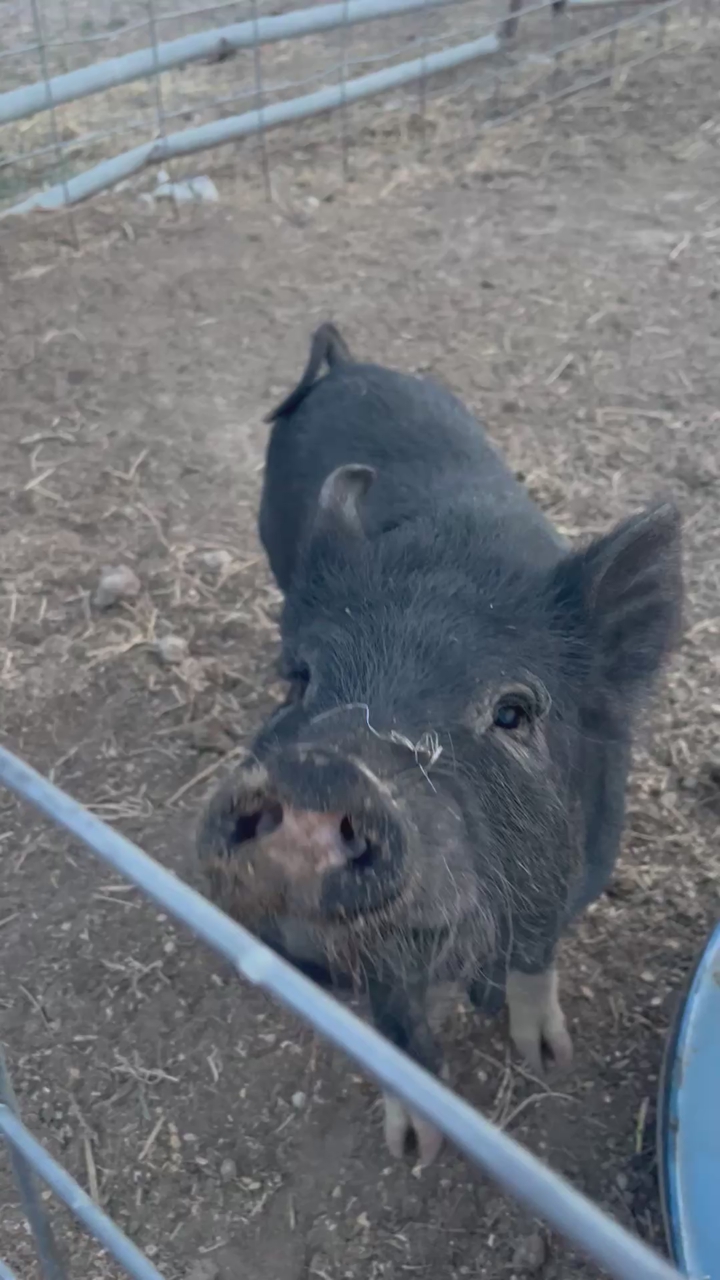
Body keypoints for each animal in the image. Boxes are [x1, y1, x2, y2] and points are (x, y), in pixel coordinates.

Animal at [198, 323, 682, 1164]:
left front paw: (546, 1056)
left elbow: (535, 954)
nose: (318, 770)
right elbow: (395, 1025)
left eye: (514, 713)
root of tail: (348, 365)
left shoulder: (578, 874)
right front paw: (413, 1147)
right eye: (299, 681)